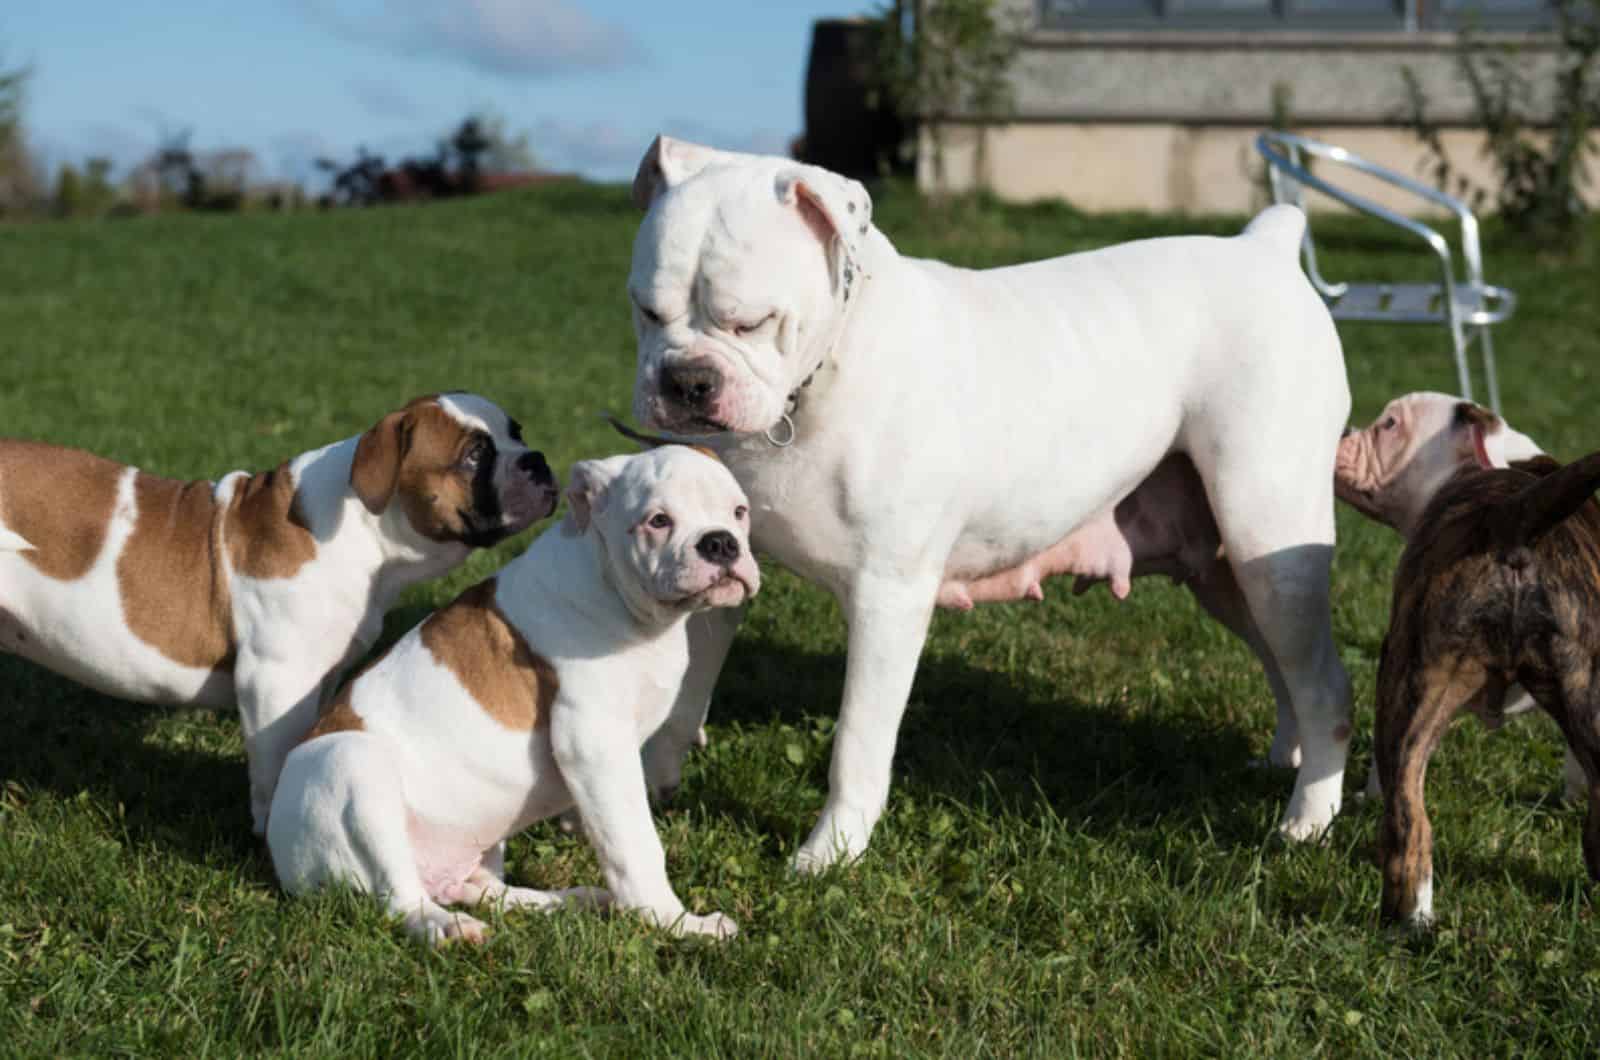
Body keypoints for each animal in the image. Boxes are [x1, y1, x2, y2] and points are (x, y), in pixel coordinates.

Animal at [0, 393, 556, 832]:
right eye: (474, 454)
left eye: (517, 434)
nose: (537, 460)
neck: (363, 531)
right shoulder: (277, 682)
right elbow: (275, 762)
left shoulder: (319, 680)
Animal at [267, 445, 755, 947]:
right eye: (658, 521)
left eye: (739, 512)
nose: (720, 543)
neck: (614, 588)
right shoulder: (594, 743)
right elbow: (635, 843)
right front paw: (674, 921)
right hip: (354, 765)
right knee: (400, 898)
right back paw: (447, 926)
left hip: (479, 838)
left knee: (484, 890)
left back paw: (569, 900)